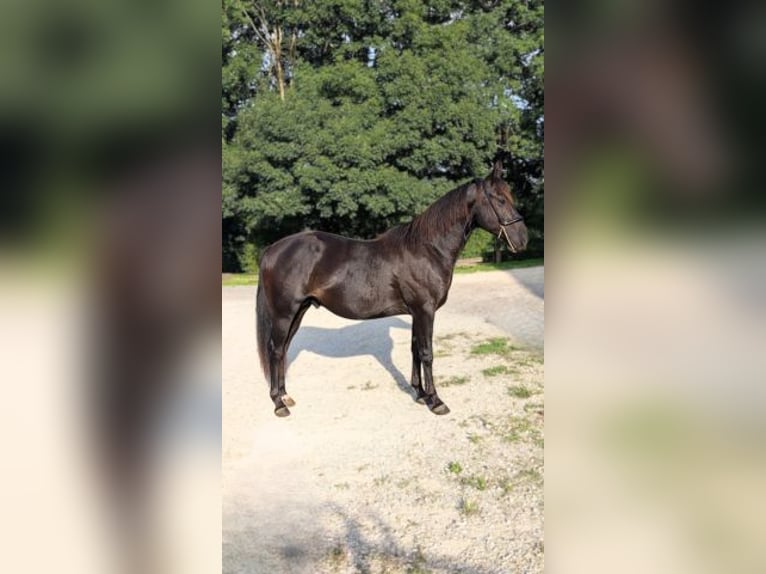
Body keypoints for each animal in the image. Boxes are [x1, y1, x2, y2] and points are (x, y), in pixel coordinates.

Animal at [256, 161, 528, 417]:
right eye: (500, 199)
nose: (523, 239)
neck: (426, 249)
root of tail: (272, 250)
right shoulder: (425, 310)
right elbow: (427, 353)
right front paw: (436, 401)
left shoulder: (417, 313)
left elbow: (415, 349)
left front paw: (420, 394)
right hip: (284, 314)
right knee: (276, 350)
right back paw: (279, 404)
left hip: (298, 312)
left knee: (283, 350)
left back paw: (285, 396)